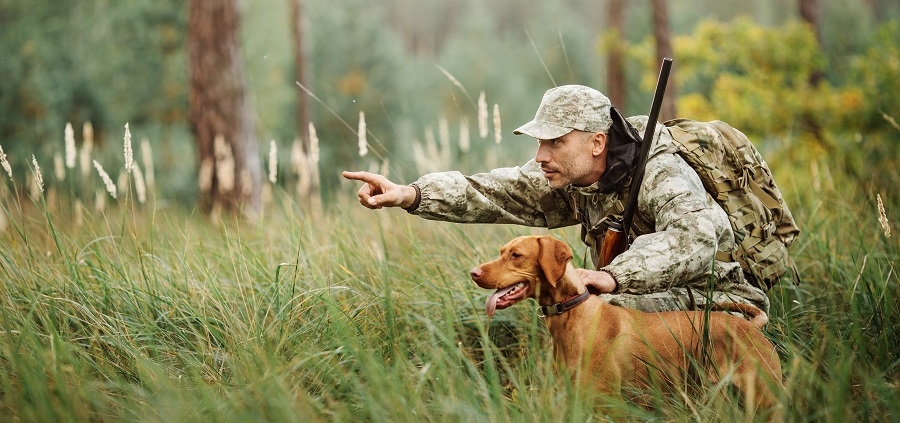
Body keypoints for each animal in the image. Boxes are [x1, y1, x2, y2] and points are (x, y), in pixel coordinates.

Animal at [472, 235, 780, 418]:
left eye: (516, 255)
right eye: (502, 252)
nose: (474, 273)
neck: (573, 315)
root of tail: (753, 327)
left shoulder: (608, 406)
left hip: (764, 397)